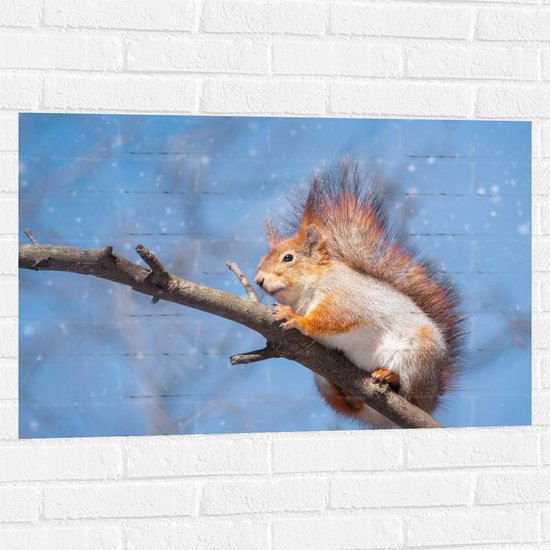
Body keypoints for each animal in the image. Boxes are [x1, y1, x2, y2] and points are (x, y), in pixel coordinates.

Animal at [256, 162, 468, 430]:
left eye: (288, 258)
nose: (258, 280)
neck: (304, 293)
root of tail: (432, 398)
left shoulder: (347, 298)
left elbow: (335, 318)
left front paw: (296, 319)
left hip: (419, 356)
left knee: (411, 395)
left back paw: (389, 377)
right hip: (322, 382)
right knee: (352, 406)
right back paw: (344, 390)